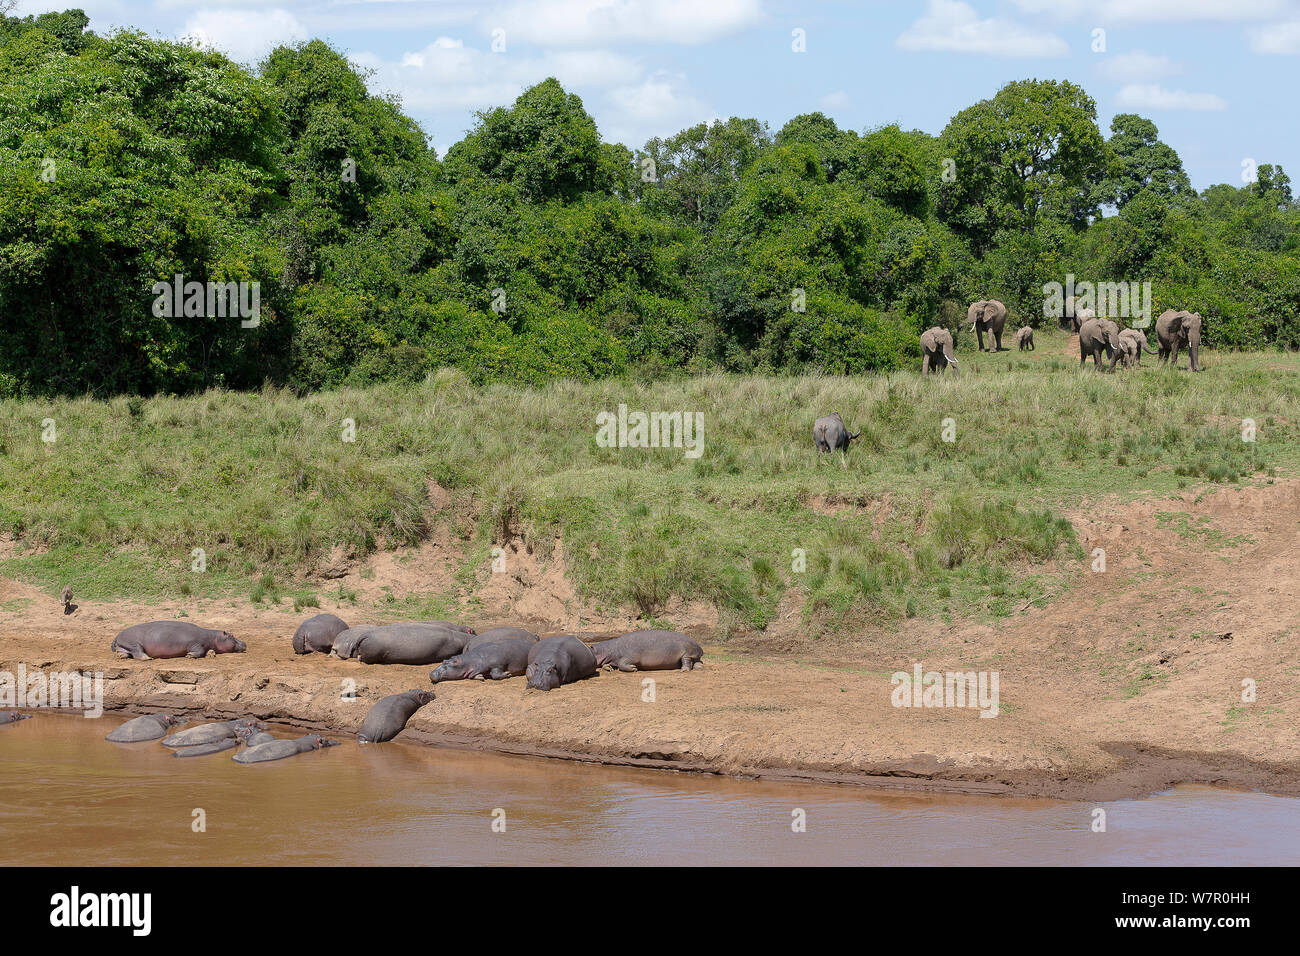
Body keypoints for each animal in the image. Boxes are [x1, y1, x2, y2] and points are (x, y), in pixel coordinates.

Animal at [112, 621, 245, 658]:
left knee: (125, 652)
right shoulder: (195, 644)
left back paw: (121, 656)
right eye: (232, 635)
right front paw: (189, 656)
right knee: (137, 652)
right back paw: (147, 658)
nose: (244, 642)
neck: (214, 637)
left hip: (124, 645)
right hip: (133, 643)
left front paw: (211, 653)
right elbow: (199, 651)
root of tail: (117, 635)